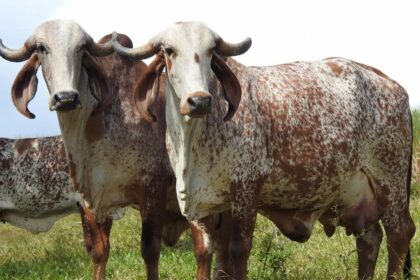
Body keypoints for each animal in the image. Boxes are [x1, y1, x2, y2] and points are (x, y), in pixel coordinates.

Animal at [0, 20, 178, 280]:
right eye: (42, 48)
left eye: (81, 49)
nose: (65, 98)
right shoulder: (91, 201)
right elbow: (99, 251)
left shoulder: (153, 188)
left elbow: (149, 250)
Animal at [113, 21, 416, 280]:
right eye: (169, 51)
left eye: (211, 52)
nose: (199, 101)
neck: (193, 141)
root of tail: (389, 82)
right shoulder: (198, 202)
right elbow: (206, 252)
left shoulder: (247, 190)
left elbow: (238, 250)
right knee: (370, 239)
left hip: (389, 181)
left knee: (399, 233)